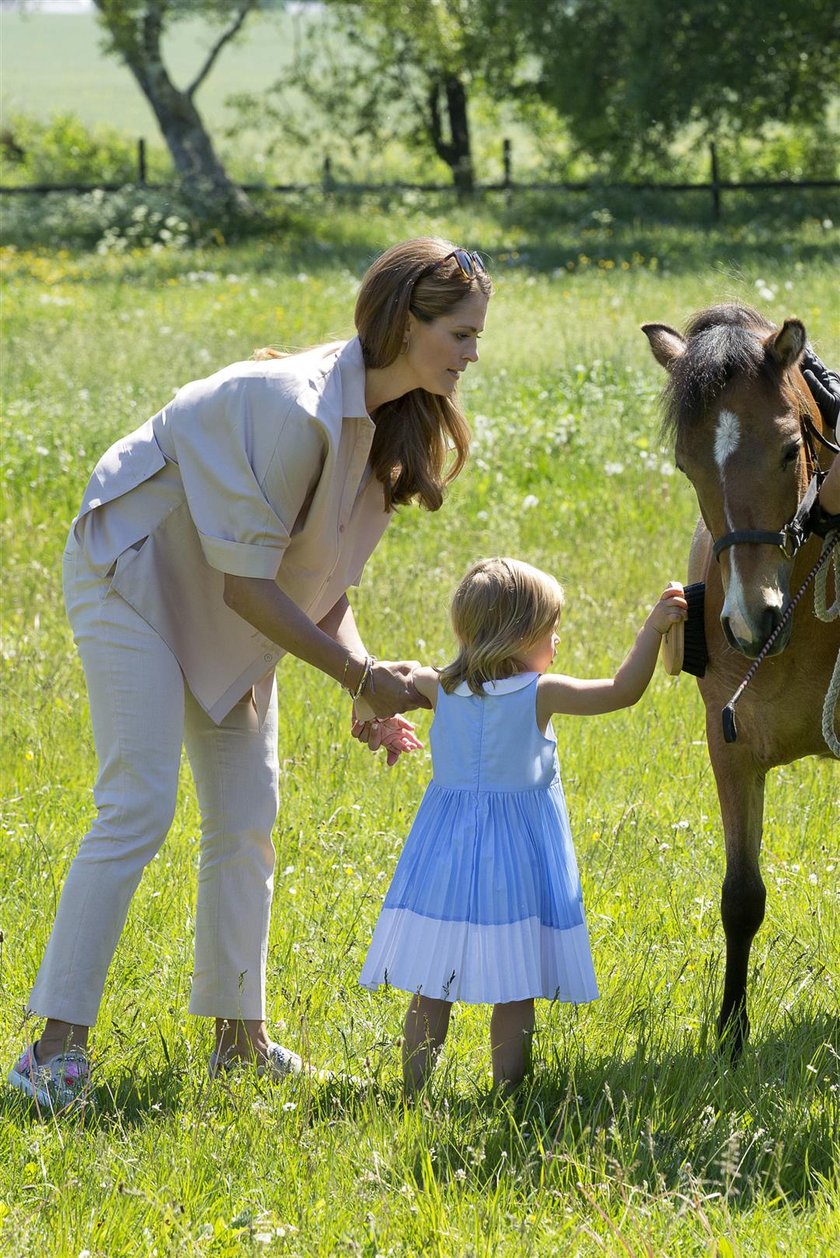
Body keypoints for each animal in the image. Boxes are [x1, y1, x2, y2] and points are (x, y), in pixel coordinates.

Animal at [643, 306, 834, 1061]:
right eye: (686, 463)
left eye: (787, 449)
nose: (752, 620)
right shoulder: (730, 749)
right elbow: (741, 896)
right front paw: (731, 1033)